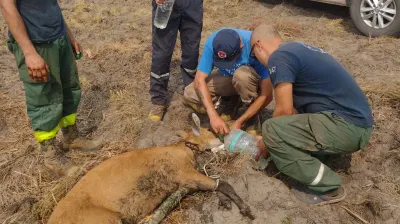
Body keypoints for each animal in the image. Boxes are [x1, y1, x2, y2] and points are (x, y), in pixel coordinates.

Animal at [47, 117, 253, 222]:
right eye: (210, 130)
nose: (225, 133)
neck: (183, 150)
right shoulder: (182, 173)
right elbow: (223, 183)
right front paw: (245, 209)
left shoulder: (186, 179)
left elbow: (215, 184)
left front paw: (226, 203)